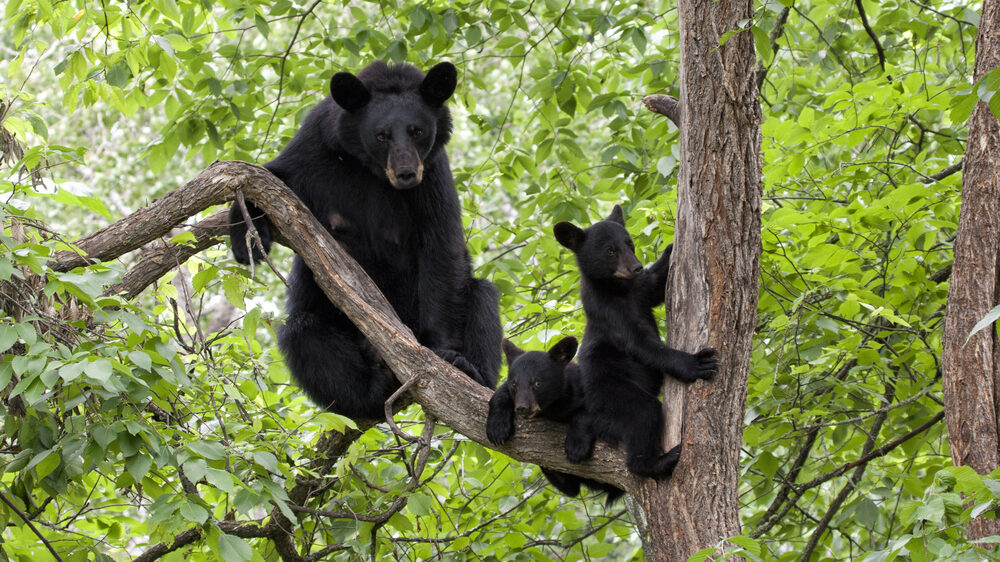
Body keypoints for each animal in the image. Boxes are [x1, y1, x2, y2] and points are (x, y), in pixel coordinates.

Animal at [230, 62, 504, 420]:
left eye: (417, 131)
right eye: (381, 134)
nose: (406, 174)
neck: (370, 170)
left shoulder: (433, 175)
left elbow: (442, 248)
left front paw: (445, 354)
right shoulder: (315, 147)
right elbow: (269, 177)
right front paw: (244, 239)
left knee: (482, 296)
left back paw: (472, 372)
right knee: (303, 333)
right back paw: (371, 390)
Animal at [486, 334, 620, 500]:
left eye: (537, 382)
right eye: (514, 384)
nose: (522, 408)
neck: (553, 406)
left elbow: (589, 413)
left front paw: (576, 447)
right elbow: (500, 394)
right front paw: (497, 429)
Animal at [556, 205, 720, 476]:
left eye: (629, 244)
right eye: (610, 251)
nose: (636, 267)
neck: (619, 289)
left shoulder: (641, 290)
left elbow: (656, 285)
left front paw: (671, 247)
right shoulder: (607, 311)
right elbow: (640, 343)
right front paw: (696, 363)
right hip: (611, 393)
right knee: (643, 413)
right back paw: (655, 462)